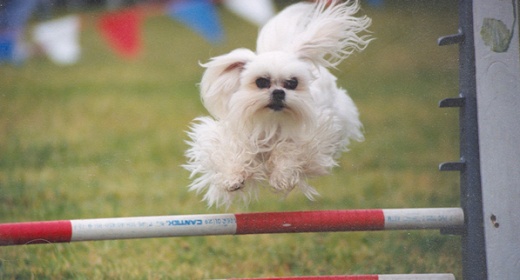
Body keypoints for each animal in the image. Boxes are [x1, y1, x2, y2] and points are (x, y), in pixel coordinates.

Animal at [183, 0, 370, 208]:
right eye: (261, 82)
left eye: (292, 83)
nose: (279, 92)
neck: (270, 122)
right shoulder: (233, 135)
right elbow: (233, 151)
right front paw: (234, 177)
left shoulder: (310, 136)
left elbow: (289, 151)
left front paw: (281, 177)